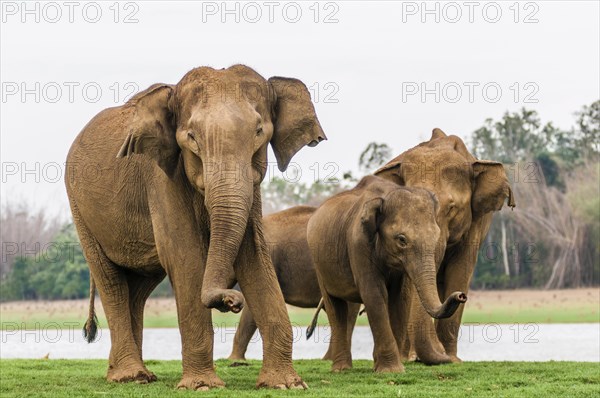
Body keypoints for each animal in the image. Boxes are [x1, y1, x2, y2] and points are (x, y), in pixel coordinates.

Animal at [65, 64, 326, 388]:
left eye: (259, 133)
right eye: (191, 137)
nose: (231, 301)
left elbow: (255, 256)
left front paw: (286, 384)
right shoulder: (161, 177)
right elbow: (185, 256)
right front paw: (203, 385)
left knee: (137, 289)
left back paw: (132, 375)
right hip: (80, 210)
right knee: (112, 282)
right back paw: (131, 376)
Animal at [308, 177, 466, 374]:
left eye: (436, 237)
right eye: (401, 240)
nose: (461, 295)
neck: (386, 195)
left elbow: (400, 299)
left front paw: (387, 368)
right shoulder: (358, 243)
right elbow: (375, 294)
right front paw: (391, 371)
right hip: (319, 265)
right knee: (335, 307)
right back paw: (341, 369)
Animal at [372, 128, 512, 364]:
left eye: (451, 208)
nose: (461, 296)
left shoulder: (476, 221)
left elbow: (462, 267)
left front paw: (451, 358)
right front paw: (433, 354)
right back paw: (409, 356)